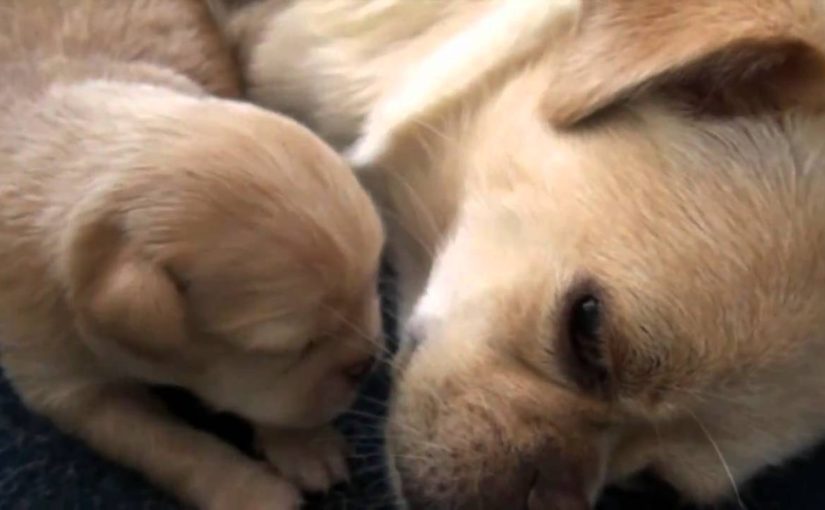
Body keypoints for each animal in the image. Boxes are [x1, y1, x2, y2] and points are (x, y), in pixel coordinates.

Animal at [0, 0, 384, 510]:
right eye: (290, 347)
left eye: (373, 283)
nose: (368, 365)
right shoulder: (63, 380)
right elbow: (166, 443)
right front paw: (252, 491)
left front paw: (304, 444)